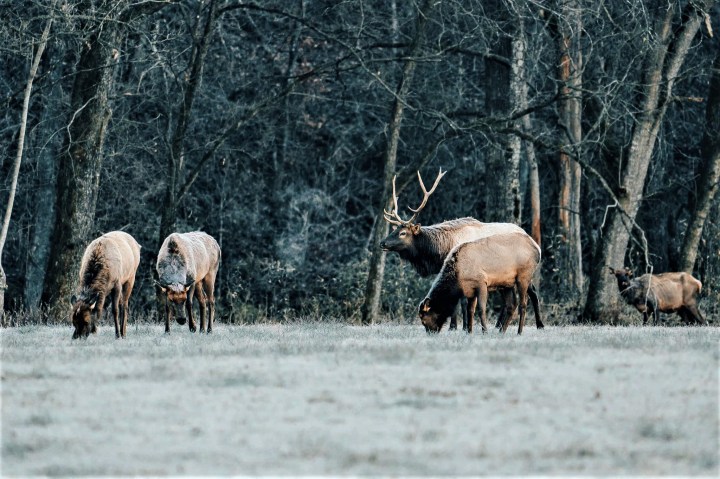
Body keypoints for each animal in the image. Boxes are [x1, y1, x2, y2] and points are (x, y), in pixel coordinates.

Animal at [382, 171, 540, 332]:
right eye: (394, 230)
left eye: (402, 233)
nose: (382, 243)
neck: (443, 250)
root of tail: (533, 241)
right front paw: (458, 326)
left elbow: (463, 303)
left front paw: (459, 326)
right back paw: (501, 325)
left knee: (532, 292)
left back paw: (539, 324)